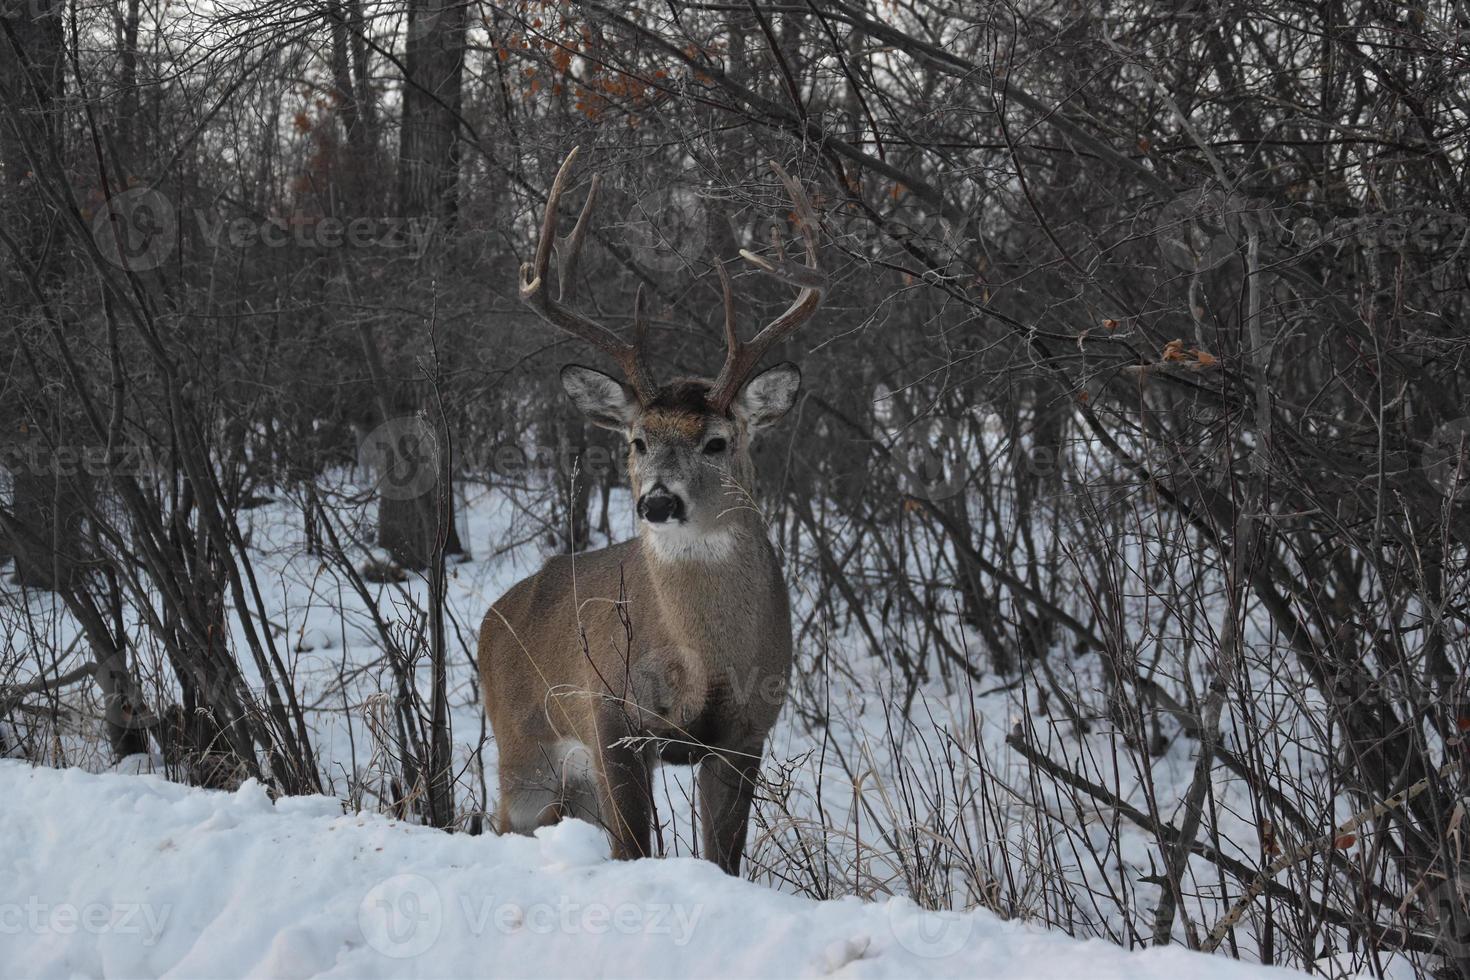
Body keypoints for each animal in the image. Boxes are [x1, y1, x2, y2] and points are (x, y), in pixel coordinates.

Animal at [485, 147, 823, 875]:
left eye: (717, 442)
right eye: (637, 441)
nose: (658, 499)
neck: (702, 664)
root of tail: (493, 616)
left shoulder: (746, 731)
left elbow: (721, 854)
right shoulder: (611, 714)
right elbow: (635, 847)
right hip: (524, 749)